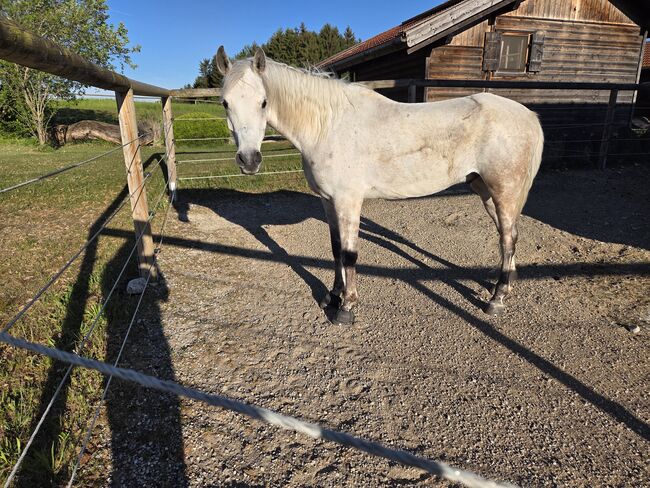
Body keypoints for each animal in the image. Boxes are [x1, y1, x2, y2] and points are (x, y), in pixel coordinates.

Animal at [215, 46, 544, 325]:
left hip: (503, 190)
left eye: (263, 102)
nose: (249, 160)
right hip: (485, 190)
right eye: (225, 103)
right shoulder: (327, 201)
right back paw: (504, 286)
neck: (329, 125)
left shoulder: (348, 201)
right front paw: (331, 297)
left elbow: (349, 253)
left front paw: (346, 308)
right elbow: (335, 249)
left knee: (508, 239)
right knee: (508, 235)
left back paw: (496, 300)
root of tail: (528, 115)